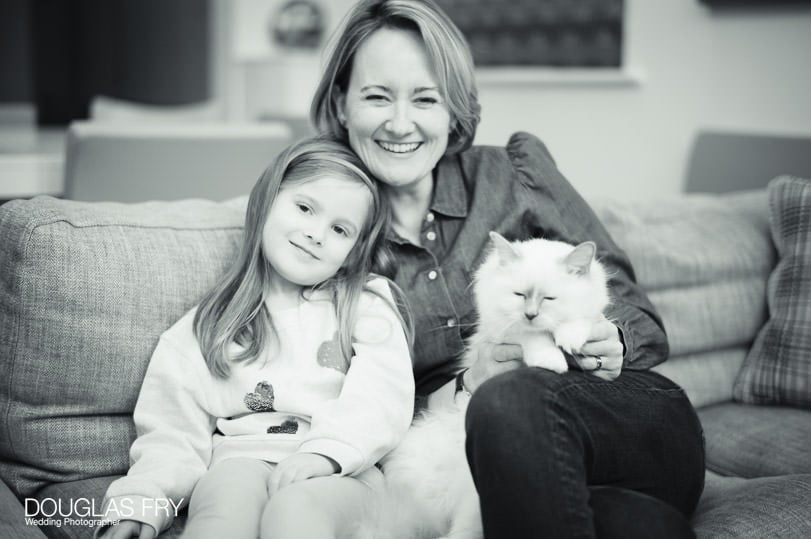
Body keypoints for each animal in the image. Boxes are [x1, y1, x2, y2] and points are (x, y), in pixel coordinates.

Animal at [368, 231, 608, 539]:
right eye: (519, 296)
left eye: (549, 298)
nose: (530, 315)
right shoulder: (505, 334)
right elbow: (532, 338)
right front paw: (551, 359)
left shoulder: (591, 316)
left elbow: (583, 322)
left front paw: (570, 338)